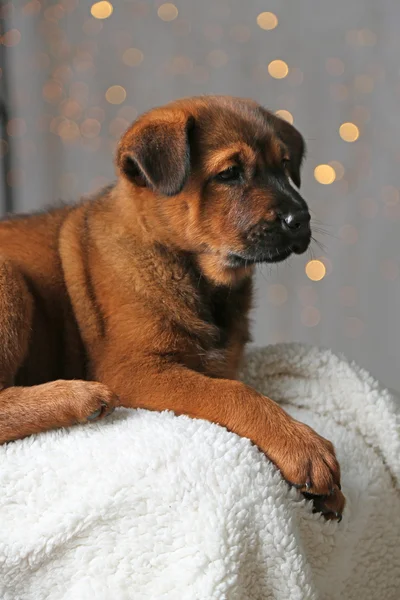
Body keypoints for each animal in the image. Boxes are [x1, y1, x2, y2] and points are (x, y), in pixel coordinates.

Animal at [0, 96, 344, 516]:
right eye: (230, 174)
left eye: (284, 165)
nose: (302, 219)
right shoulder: (134, 369)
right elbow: (234, 393)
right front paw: (302, 444)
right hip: (8, 278)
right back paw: (78, 396)